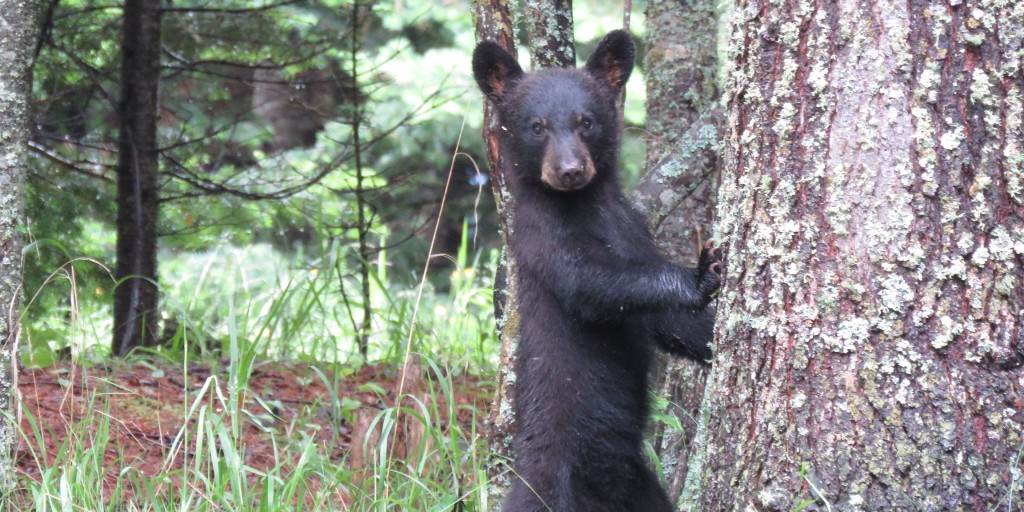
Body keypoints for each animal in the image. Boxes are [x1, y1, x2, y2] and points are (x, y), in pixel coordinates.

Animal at [473, 30, 722, 512]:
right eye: (537, 126)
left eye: (585, 121)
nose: (570, 170)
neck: (586, 203)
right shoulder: (539, 238)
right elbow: (591, 284)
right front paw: (700, 274)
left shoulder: (634, 225)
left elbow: (667, 322)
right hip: (548, 486)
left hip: (643, 487)